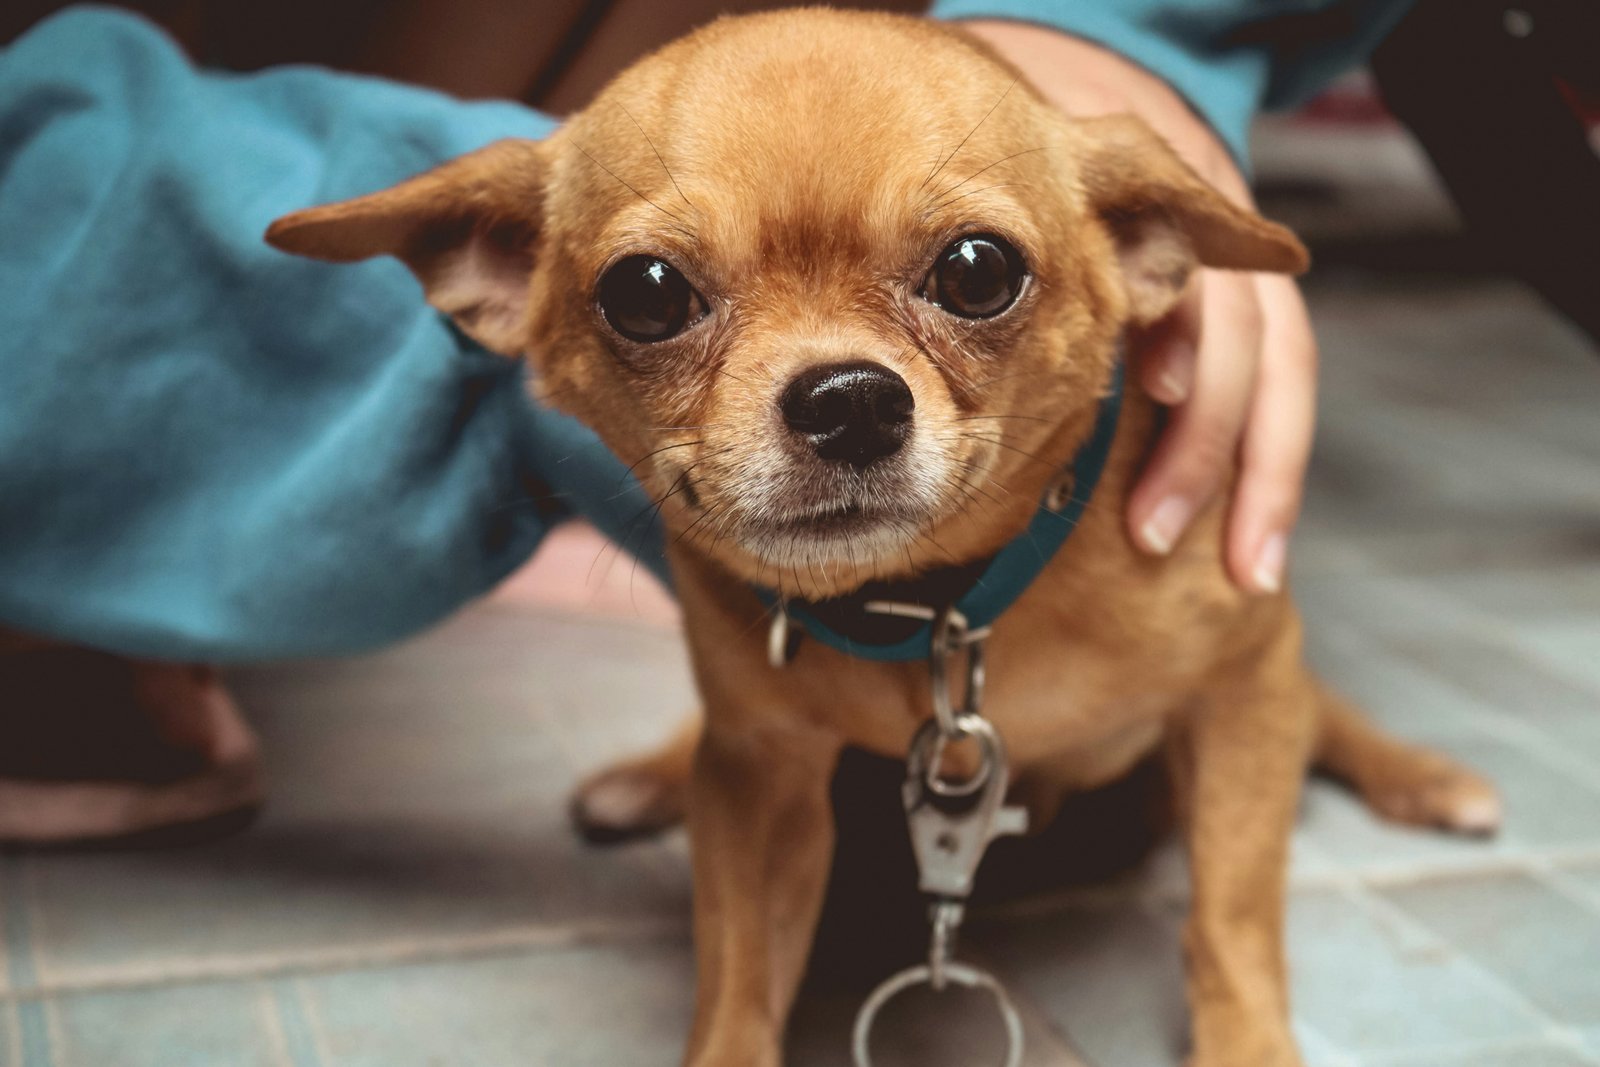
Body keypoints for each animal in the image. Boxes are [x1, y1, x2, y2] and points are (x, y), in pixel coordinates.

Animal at [268, 10, 1504, 1067]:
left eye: (977, 270)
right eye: (646, 292)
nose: (849, 398)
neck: (933, 604)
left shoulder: (1241, 686)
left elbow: (1232, 920)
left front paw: (1246, 1041)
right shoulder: (762, 783)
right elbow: (738, 975)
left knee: (1326, 718)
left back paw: (1426, 776)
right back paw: (647, 776)